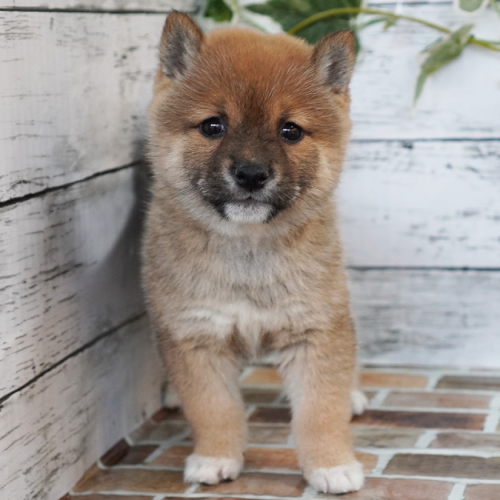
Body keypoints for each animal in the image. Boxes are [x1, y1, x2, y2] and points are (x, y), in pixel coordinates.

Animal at [141, 11, 368, 496]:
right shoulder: (195, 336)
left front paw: (332, 464)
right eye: (213, 125)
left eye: (290, 130)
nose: (250, 173)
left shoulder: (316, 329)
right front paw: (216, 456)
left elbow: (320, 411)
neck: (248, 252)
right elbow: (213, 409)